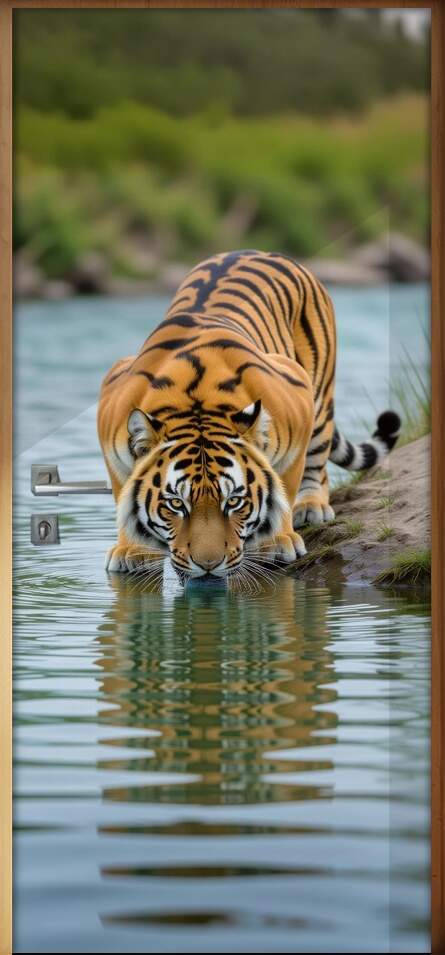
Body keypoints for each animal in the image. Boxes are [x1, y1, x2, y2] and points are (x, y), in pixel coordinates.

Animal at [98, 250, 400, 580]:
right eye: (176, 503)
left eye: (234, 501)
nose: (208, 565)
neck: (194, 401)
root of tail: (263, 252)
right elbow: (124, 494)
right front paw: (134, 551)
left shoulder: (298, 399)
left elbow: (282, 486)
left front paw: (275, 542)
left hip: (319, 393)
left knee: (317, 463)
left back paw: (311, 507)